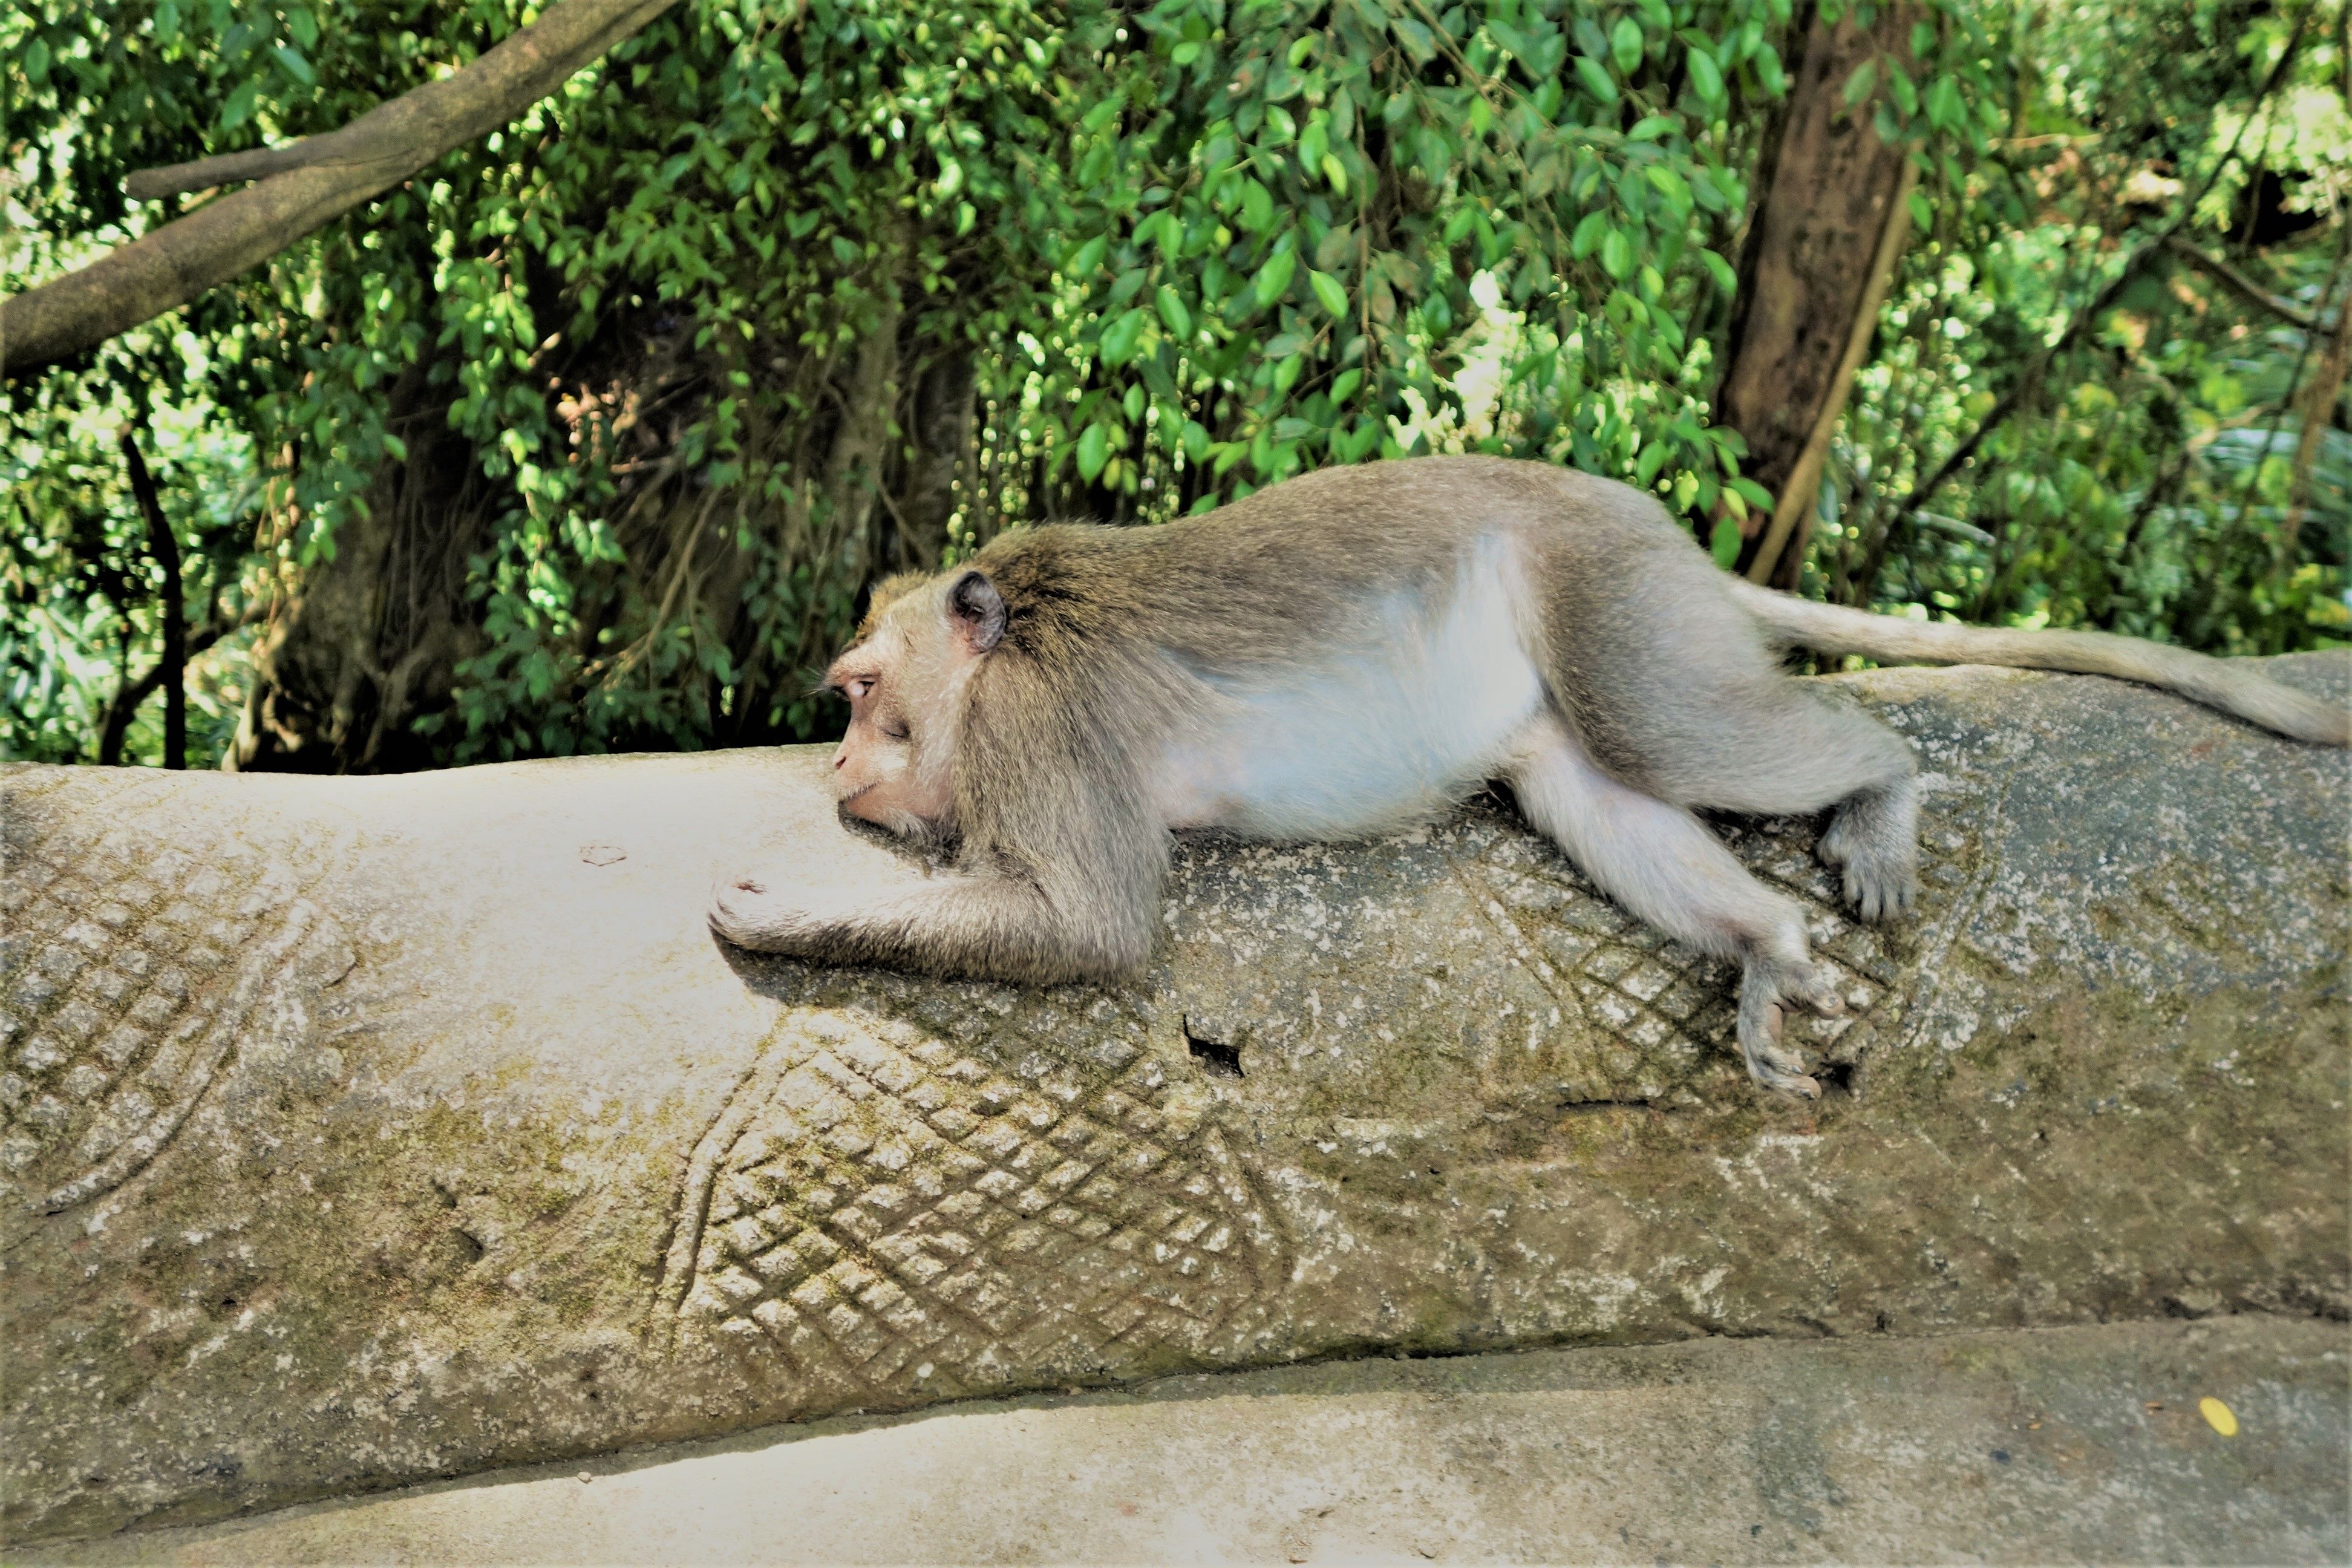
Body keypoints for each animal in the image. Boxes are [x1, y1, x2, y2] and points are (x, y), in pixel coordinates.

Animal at [710, 456, 2349, 1098]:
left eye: (863, 695)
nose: (841, 760)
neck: (1004, 652)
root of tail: (1660, 527)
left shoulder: (1043, 725)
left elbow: (1090, 924)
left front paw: (777, 911)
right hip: (1571, 673)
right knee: (1601, 793)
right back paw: (1765, 943)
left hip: (1614, 606)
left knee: (1677, 739)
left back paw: (1883, 792)